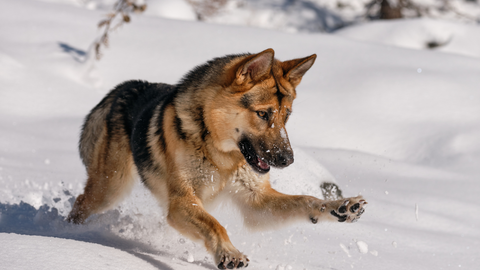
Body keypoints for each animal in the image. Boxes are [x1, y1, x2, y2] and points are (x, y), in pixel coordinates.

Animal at [68, 49, 368, 270]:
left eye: (287, 115)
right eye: (263, 114)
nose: (288, 160)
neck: (220, 155)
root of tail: (122, 88)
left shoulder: (256, 202)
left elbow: (306, 200)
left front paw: (341, 206)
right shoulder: (181, 202)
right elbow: (215, 224)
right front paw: (229, 253)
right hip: (110, 189)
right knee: (80, 204)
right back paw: (71, 235)